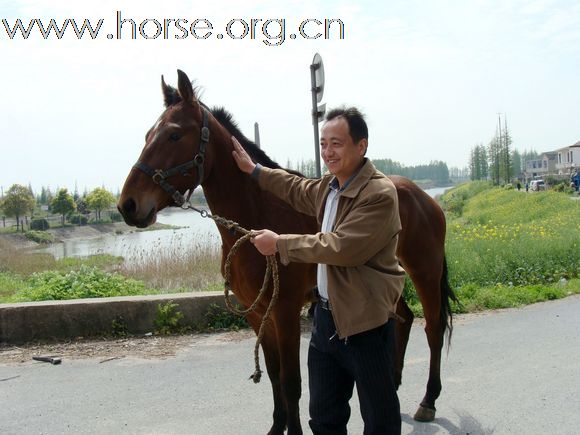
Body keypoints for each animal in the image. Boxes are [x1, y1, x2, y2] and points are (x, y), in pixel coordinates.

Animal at [118, 70, 458, 434]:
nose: (128, 205)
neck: (256, 220)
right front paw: (276, 427)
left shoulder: (285, 309)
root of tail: (424, 197)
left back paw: (428, 400)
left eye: (174, 134)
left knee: (433, 328)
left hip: (425, 271)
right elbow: (274, 376)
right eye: (148, 135)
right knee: (403, 320)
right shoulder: (257, 313)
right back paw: (394, 382)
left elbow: (292, 382)